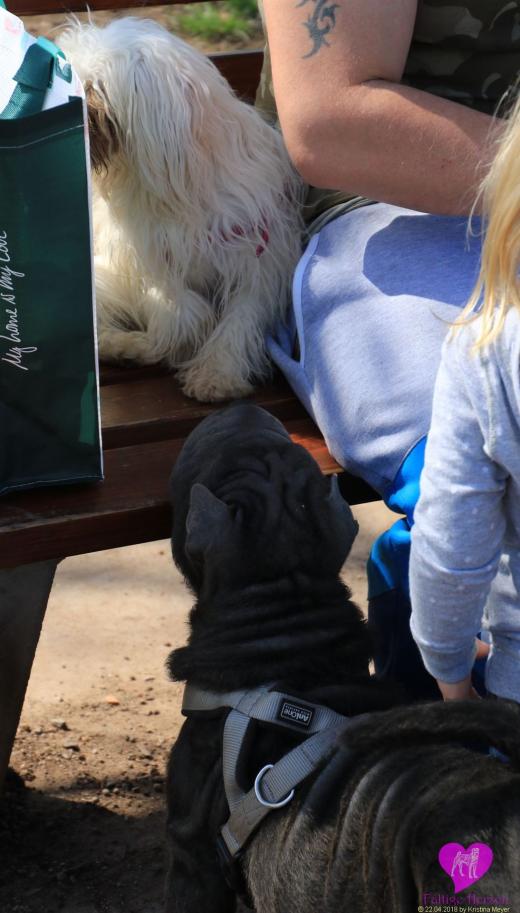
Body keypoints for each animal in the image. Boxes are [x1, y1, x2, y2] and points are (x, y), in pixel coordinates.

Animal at [58, 19, 303, 402]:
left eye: (92, 85)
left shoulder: (259, 255)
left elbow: (242, 314)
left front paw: (218, 373)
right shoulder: (140, 253)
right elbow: (174, 302)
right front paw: (187, 332)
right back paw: (128, 345)